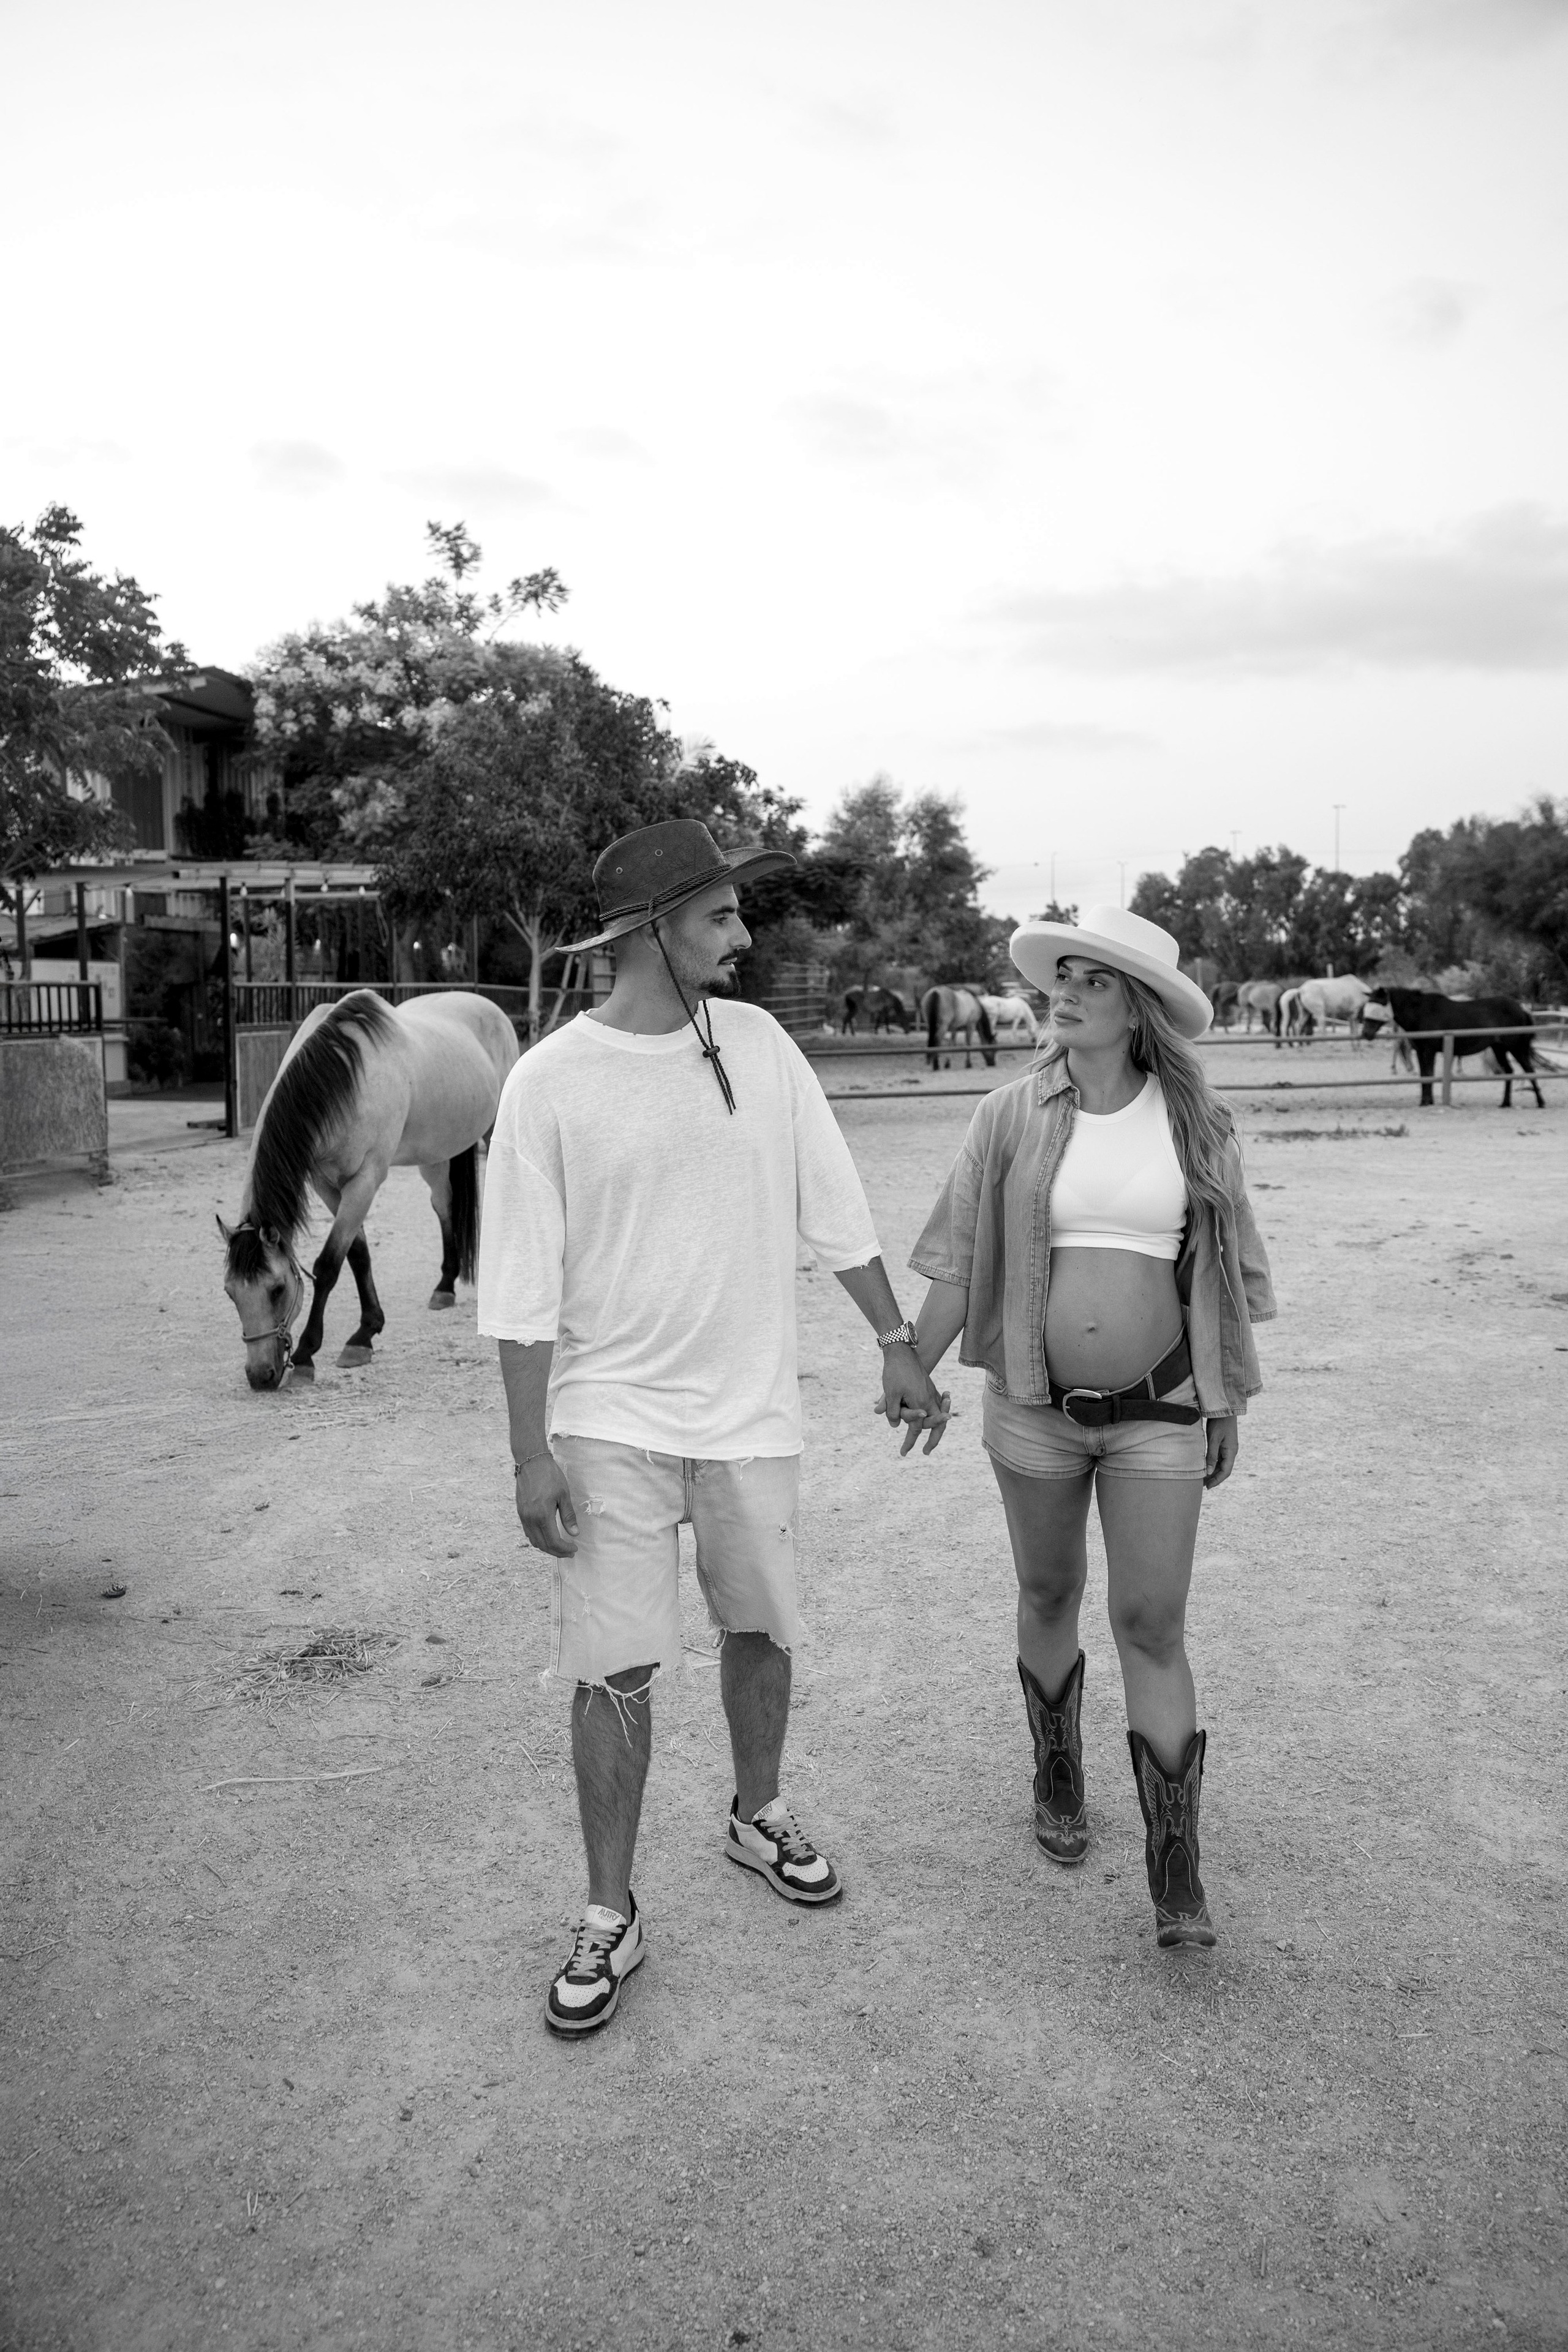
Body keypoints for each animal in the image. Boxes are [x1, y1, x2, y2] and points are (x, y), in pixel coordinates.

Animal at [218, 989, 519, 1389]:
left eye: (277, 1289)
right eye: (230, 1292)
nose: (260, 1376)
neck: (343, 1079)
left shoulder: (366, 1179)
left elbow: (329, 1264)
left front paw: (308, 1353)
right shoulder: (328, 1183)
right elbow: (357, 1253)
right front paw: (366, 1332)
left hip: (497, 1131)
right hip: (436, 1155)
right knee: (444, 1204)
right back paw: (445, 1286)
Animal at [922, 984, 996, 1070]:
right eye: (993, 1049)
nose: (993, 1064)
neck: (975, 1004)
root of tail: (936, 992)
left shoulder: (954, 1028)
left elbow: (952, 1042)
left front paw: (947, 1064)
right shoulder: (971, 1025)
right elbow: (968, 1043)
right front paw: (968, 1064)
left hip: (930, 1025)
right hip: (943, 1026)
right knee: (938, 1040)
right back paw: (936, 1065)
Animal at [1359, 986, 1543, 1109]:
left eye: (1378, 1005)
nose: (1366, 1033)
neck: (1422, 1013)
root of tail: (1522, 1009)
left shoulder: (1429, 1051)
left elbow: (1429, 1075)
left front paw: (1426, 1102)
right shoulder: (1420, 1052)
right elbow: (1425, 1076)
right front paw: (1425, 1101)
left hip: (1516, 1049)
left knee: (1529, 1070)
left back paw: (1540, 1102)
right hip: (1500, 1049)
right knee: (1509, 1071)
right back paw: (1505, 1103)